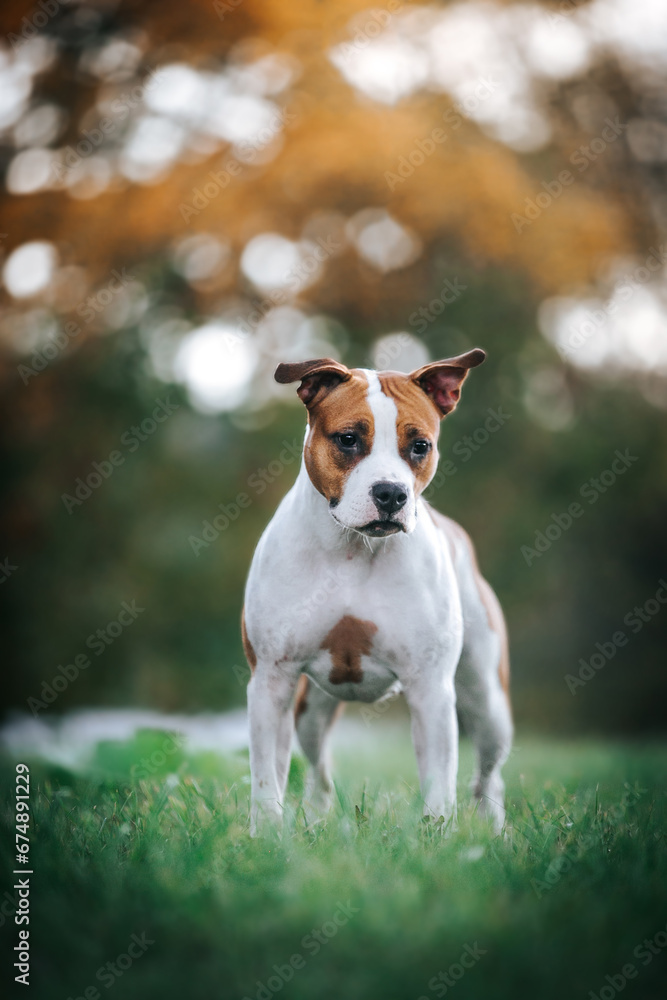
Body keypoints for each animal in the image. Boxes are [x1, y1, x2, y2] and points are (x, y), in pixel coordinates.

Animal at [243, 352, 516, 836]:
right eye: (349, 439)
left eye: (420, 446)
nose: (391, 493)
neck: (352, 550)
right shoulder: (271, 678)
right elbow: (265, 776)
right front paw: (267, 837)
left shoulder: (431, 688)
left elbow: (439, 778)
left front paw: (437, 836)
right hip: (310, 711)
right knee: (316, 770)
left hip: (488, 702)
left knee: (489, 776)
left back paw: (494, 829)